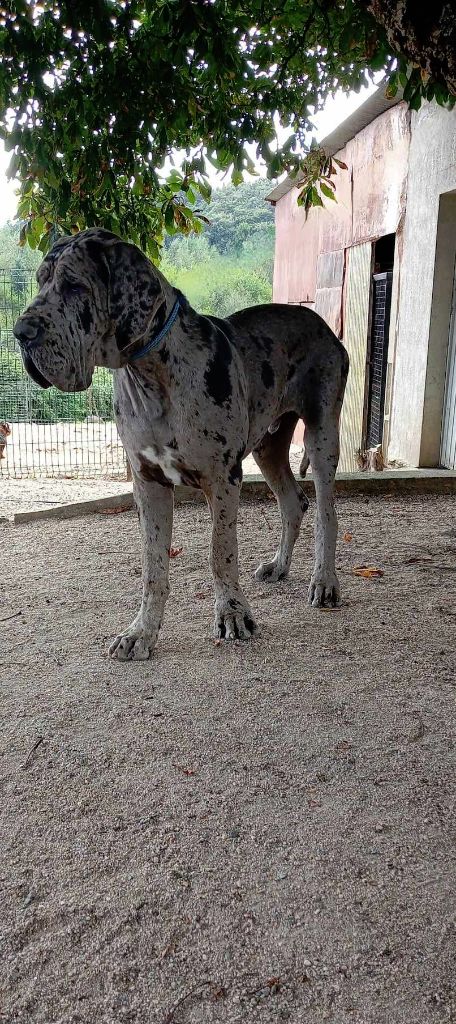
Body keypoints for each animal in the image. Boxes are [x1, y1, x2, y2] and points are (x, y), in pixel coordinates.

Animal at [14, 228, 348, 659]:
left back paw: (324, 582)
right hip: (267, 446)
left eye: (74, 285)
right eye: (40, 281)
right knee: (293, 502)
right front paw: (141, 632)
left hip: (322, 435)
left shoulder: (223, 479)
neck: (152, 373)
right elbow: (153, 566)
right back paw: (279, 566)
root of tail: (321, 321)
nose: (21, 333)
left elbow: (220, 553)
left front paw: (233, 614)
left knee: (326, 512)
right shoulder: (148, 482)